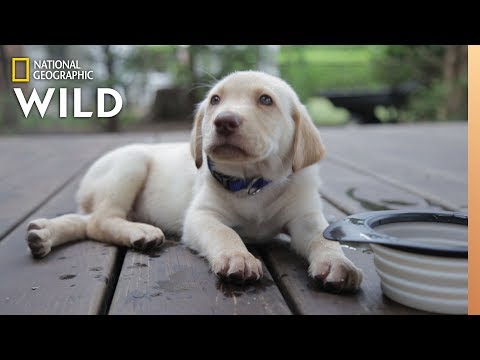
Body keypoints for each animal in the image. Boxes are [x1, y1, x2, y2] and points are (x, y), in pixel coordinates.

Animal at [28, 70, 362, 292]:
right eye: (215, 100)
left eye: (266, 100)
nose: (224, 121)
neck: (252, 181)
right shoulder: (202, 216)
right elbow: (225, 233)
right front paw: (239, 258)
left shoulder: (306, 218)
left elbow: (323, 238)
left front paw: (338, 264)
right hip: (130, 164)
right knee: (100, 221)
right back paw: (140, 232)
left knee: (86, 222)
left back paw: (44, 233)